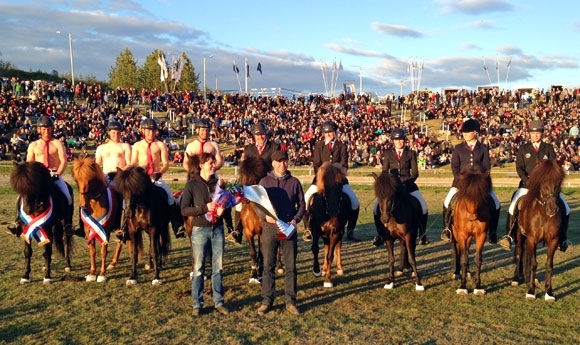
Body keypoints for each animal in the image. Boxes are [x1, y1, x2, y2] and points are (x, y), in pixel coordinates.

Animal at [450, 167, 492, 296]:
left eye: (480, 195)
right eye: (466, 194)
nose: (471, 217)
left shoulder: (481, 235)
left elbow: (478, 259)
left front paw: (478, 287)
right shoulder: (462, 235)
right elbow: (463, 259)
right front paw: (462, 287)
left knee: (467, 251)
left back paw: (467, 272)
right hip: (455, 235)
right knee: (457, 251)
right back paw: (456, 272)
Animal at [516, 159, 564, 300]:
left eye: (558, 182)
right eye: (542, 182)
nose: (552, 209)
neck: (544, 215)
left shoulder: (553, 241)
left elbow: (549, 265)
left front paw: (549, 292)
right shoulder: (532, 239)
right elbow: (533, 264)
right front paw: (531, 291)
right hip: (520, 236)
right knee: (519, 252)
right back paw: (516, 278)